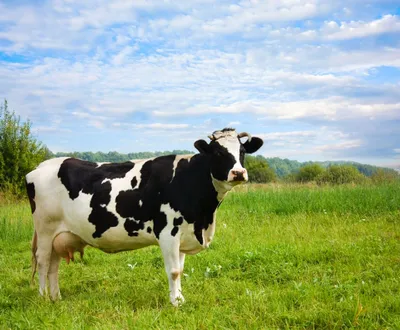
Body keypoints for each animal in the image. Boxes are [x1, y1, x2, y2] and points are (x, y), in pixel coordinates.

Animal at [25, 127, 262, 306]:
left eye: (242, 151)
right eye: (218, 153)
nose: (238, 173)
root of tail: (40, 166)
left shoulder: (183, 233)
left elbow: (180, 269)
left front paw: (180, 298)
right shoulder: (168, 232)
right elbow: (174, 271)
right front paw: (175, 302)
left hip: (59, 233)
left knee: (54, 265)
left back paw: (56, 297)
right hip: (45, 229)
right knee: (43, 262)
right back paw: (43, 298)